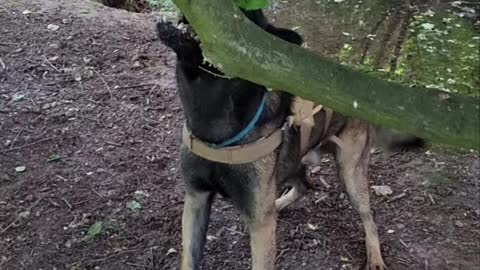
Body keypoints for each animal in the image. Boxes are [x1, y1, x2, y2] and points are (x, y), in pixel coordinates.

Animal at [156, 8, 422, 270]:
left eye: (244, 15)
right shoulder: (196, 200)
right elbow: (189, 259)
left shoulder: (260, 228)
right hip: (294, 162)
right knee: (305, 185)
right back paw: (279, 204)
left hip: (350, 172)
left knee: (368, 218)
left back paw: (375, 257)